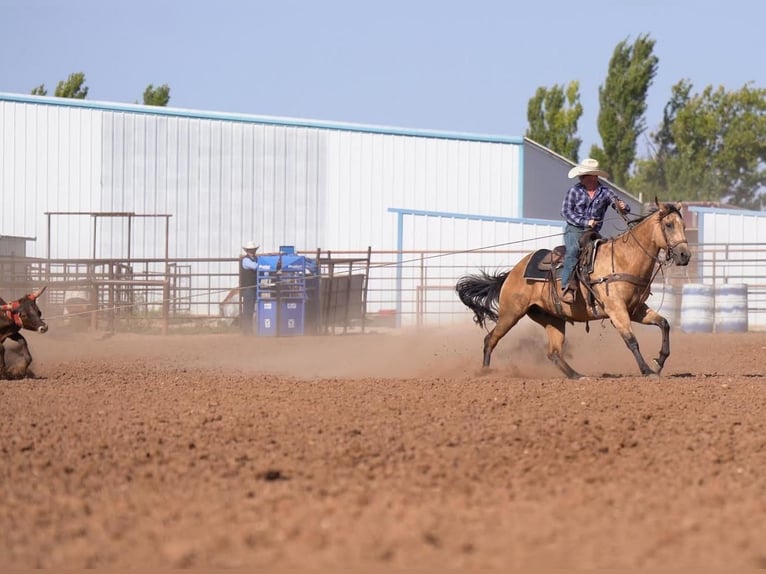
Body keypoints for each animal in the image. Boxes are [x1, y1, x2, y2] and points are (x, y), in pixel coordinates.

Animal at [460, 200, 692, 380]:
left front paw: (658, 362)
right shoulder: (616, 309)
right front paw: (647, 370)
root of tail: (511, 273)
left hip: (552, 319)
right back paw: (485, 373)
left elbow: (664, 324)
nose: (684, 255)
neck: (623, 259)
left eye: (683, 225)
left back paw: (578, 375)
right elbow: (631, 340)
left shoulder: (636, 309)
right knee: (490, 340)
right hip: (510, 313)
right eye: (669, 225)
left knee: (553, 353)